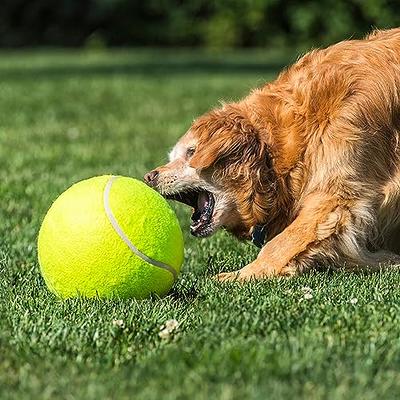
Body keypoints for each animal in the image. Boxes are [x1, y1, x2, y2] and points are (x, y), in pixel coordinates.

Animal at [145, 28, 400, 282]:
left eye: (191, 152)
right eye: (172, 157)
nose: (149, 177)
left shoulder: (338, 194)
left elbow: (282, 242)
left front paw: (240, 274)